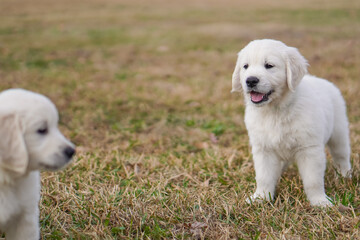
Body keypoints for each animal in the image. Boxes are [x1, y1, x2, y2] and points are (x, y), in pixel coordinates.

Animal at [231, 39, 352, 206]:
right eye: (245, 66)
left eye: (269, 65)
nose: (250, 80)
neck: (275, 111)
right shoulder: (263, 149)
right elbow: (263, 177)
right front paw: (261, 197)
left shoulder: (310, 149)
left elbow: (313, 180)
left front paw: (320, 202)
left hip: (338, 133)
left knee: (341, 155)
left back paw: (345, 176)